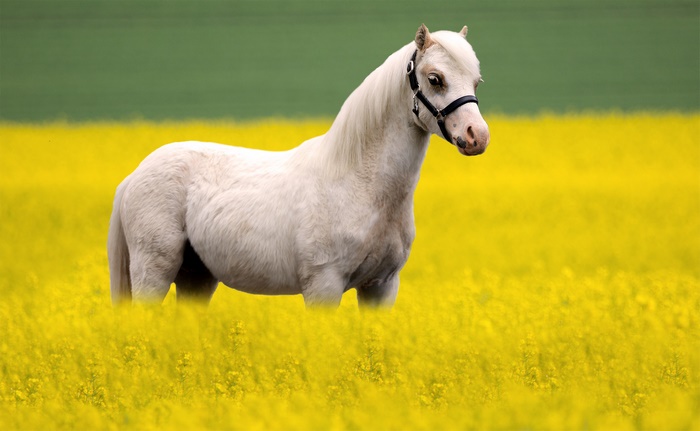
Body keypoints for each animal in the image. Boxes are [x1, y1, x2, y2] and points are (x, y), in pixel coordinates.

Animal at [108, 24, 490, 307]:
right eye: (435, 78)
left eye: (475, 81)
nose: (478, 136)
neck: (359, 183)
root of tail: (135, 175)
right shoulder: (324, 286)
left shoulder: (382, 286)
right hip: (153, 274)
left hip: (196, 278)